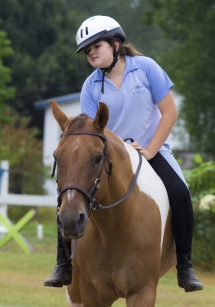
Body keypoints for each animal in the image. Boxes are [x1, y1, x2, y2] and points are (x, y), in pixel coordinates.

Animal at [49, 100, 176, 306]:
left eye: (98, 157)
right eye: (56, 157)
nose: (70, 221)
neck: (113, 227)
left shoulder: (143, 291)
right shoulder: (92, 293)